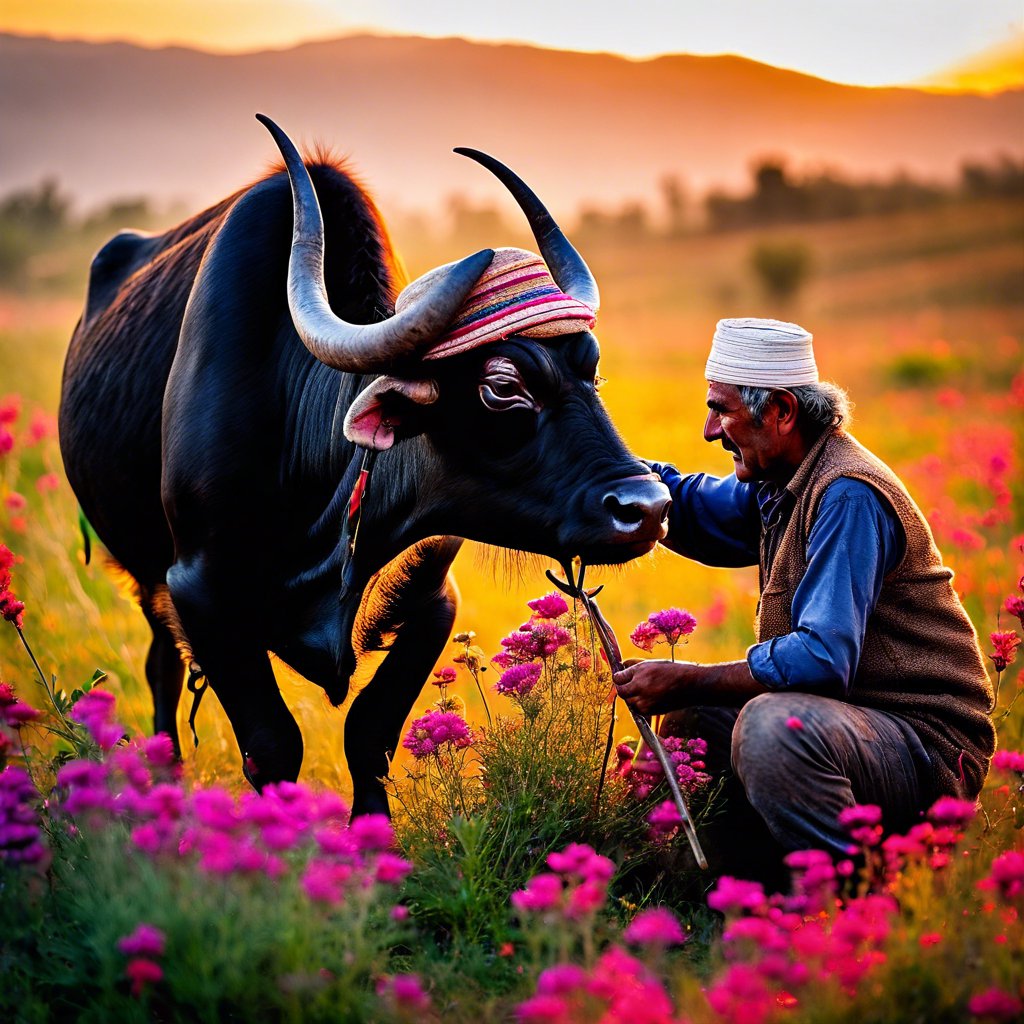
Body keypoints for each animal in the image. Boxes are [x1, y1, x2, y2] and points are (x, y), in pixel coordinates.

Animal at [58, 116, 671, 811]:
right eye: (502, 385)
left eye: (592, 367)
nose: (646, 508)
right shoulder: (202, 594)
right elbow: (272, 744)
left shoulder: (433, 602)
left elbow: (370, 732)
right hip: (146, 577)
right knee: (161, 669)